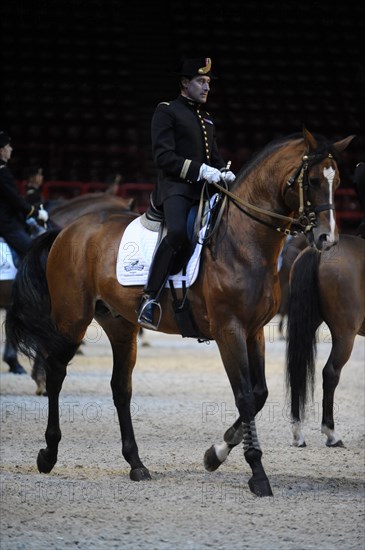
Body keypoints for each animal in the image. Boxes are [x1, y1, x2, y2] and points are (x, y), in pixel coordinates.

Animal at [4, 130, 352, 500]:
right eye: (313, 180)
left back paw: (136, 464)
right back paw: (48, 453)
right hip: (73, 321)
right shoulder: (229, 331)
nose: (327, 238)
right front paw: (257, 474)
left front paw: (216, 453)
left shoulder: (254, 330)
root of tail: (68, 230)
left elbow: (258, 394)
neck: (242, 242)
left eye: (338, 181)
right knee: (56, 373)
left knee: (120, 388)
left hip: (120, 325)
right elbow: (245, 396)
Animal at [284, 235, 364, 450]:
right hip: (345, 336)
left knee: (296, 370)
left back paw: (298, 433)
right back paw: (332, 434)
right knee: (330, 373)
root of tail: (321, 249)